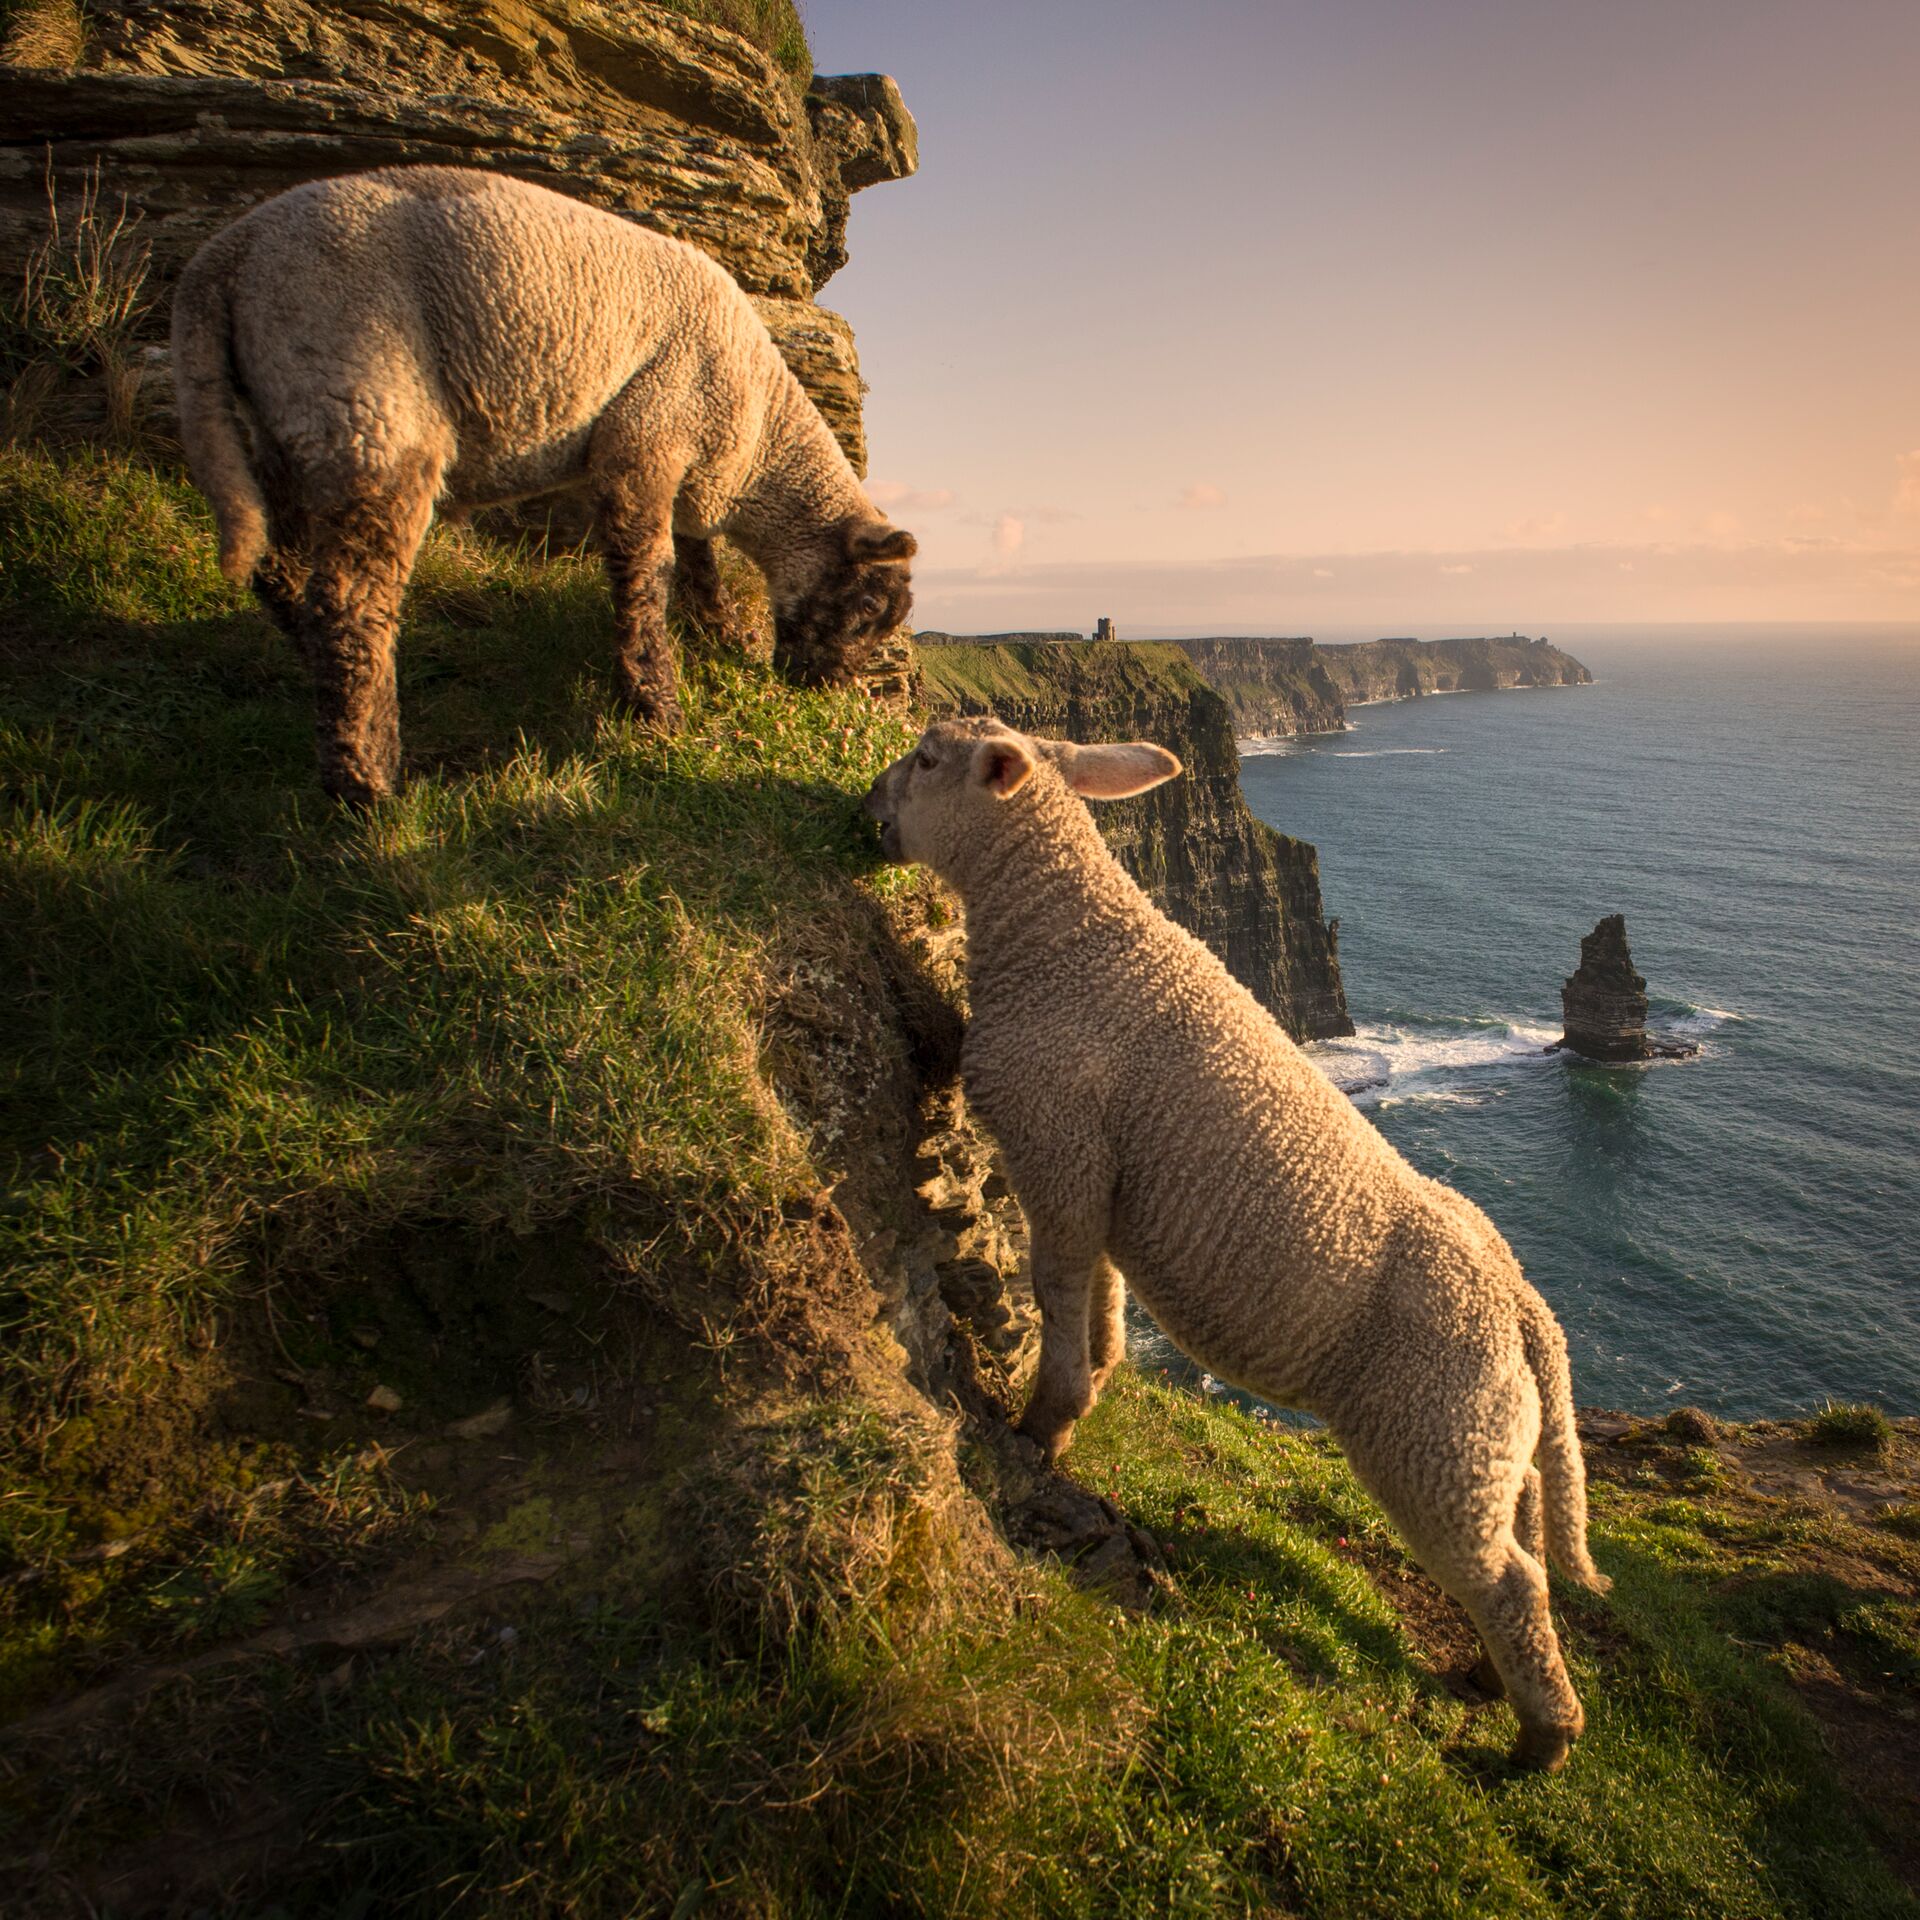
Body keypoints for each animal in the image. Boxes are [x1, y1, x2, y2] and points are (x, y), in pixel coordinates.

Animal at [171, 165, 916, 805]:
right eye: (864, 612)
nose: (822, 690)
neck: (758, 439)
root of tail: (223, 260)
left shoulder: (680, 460)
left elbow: (696, 560)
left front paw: (721, 635)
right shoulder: (647, 438)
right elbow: (646, 575)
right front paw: (657, 709)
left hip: (283, 427)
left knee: (282, 572)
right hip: (366, 399)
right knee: (348, 603)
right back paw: (369, 781)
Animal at [865, 716, 1611, 1771]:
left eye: (928, 761)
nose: (867, 810)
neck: (1064, 938)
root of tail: (1525, 1311)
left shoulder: (1058, 1143)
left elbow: (1056, 1286)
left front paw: (1044, 1425)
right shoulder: (1101, 1179)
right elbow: (1100, 1295)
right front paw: (1098, 1378)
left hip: (1432, 1435)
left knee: (1507, 1579)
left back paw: (1540, 1740)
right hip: (1479, 1439)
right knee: (1523, 1535)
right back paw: (1488, 1678)